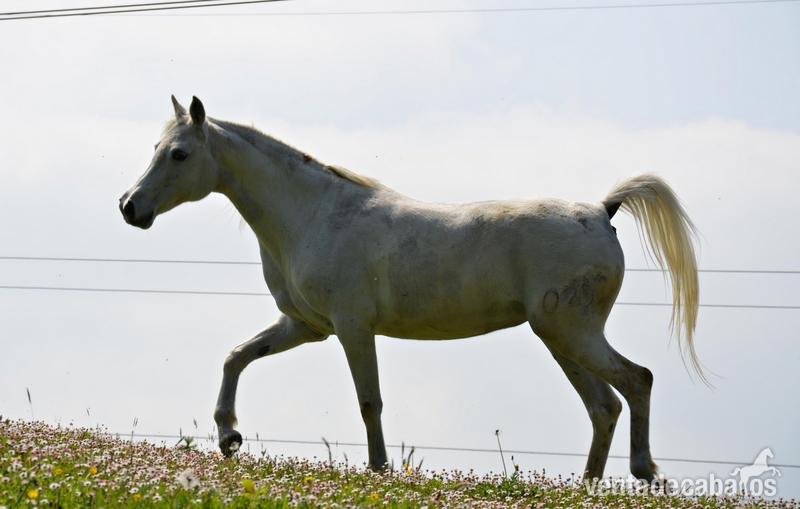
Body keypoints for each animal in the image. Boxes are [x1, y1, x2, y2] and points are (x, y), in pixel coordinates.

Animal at [119, 96, 702, 482]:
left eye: (178, 154)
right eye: (156, 146)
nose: (129, 207)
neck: (312, 214)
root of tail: (602, 211)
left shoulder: (353, 328)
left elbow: (369, 401)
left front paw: (378, 470)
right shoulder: (305, 327)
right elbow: (236, 356)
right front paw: (228, 436)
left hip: (571, 333)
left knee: (637, 381)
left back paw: (644, 471)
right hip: (561, 338)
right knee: (604, 406)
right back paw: (586, 486)